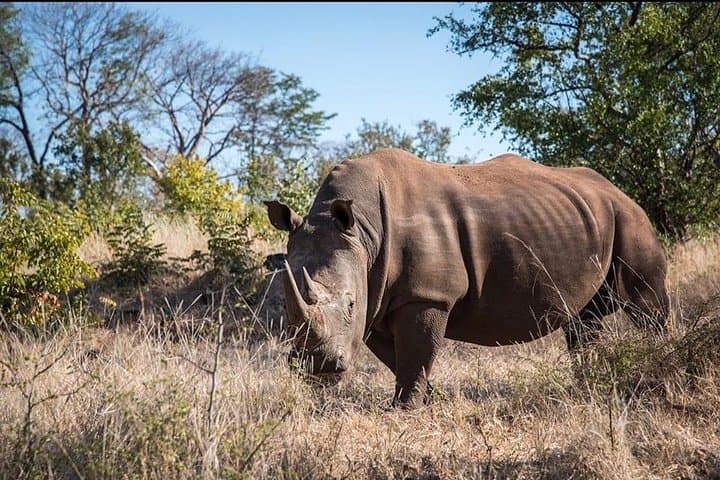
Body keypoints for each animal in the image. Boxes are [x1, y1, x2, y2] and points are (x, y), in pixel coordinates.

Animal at [265, 148, 669, 408]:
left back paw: (661, 371)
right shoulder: (377, 298)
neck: (363, 233)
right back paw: (590, 384)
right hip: (588, 217)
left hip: (631, 219)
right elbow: (399, 358)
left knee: (646, 306)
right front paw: (430, 400)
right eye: (286, 308)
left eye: (350, 303)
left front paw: (405, 408)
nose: (317, 367)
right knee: (585, 320)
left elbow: (416, 354)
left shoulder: (426, 295)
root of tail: (620, 191)